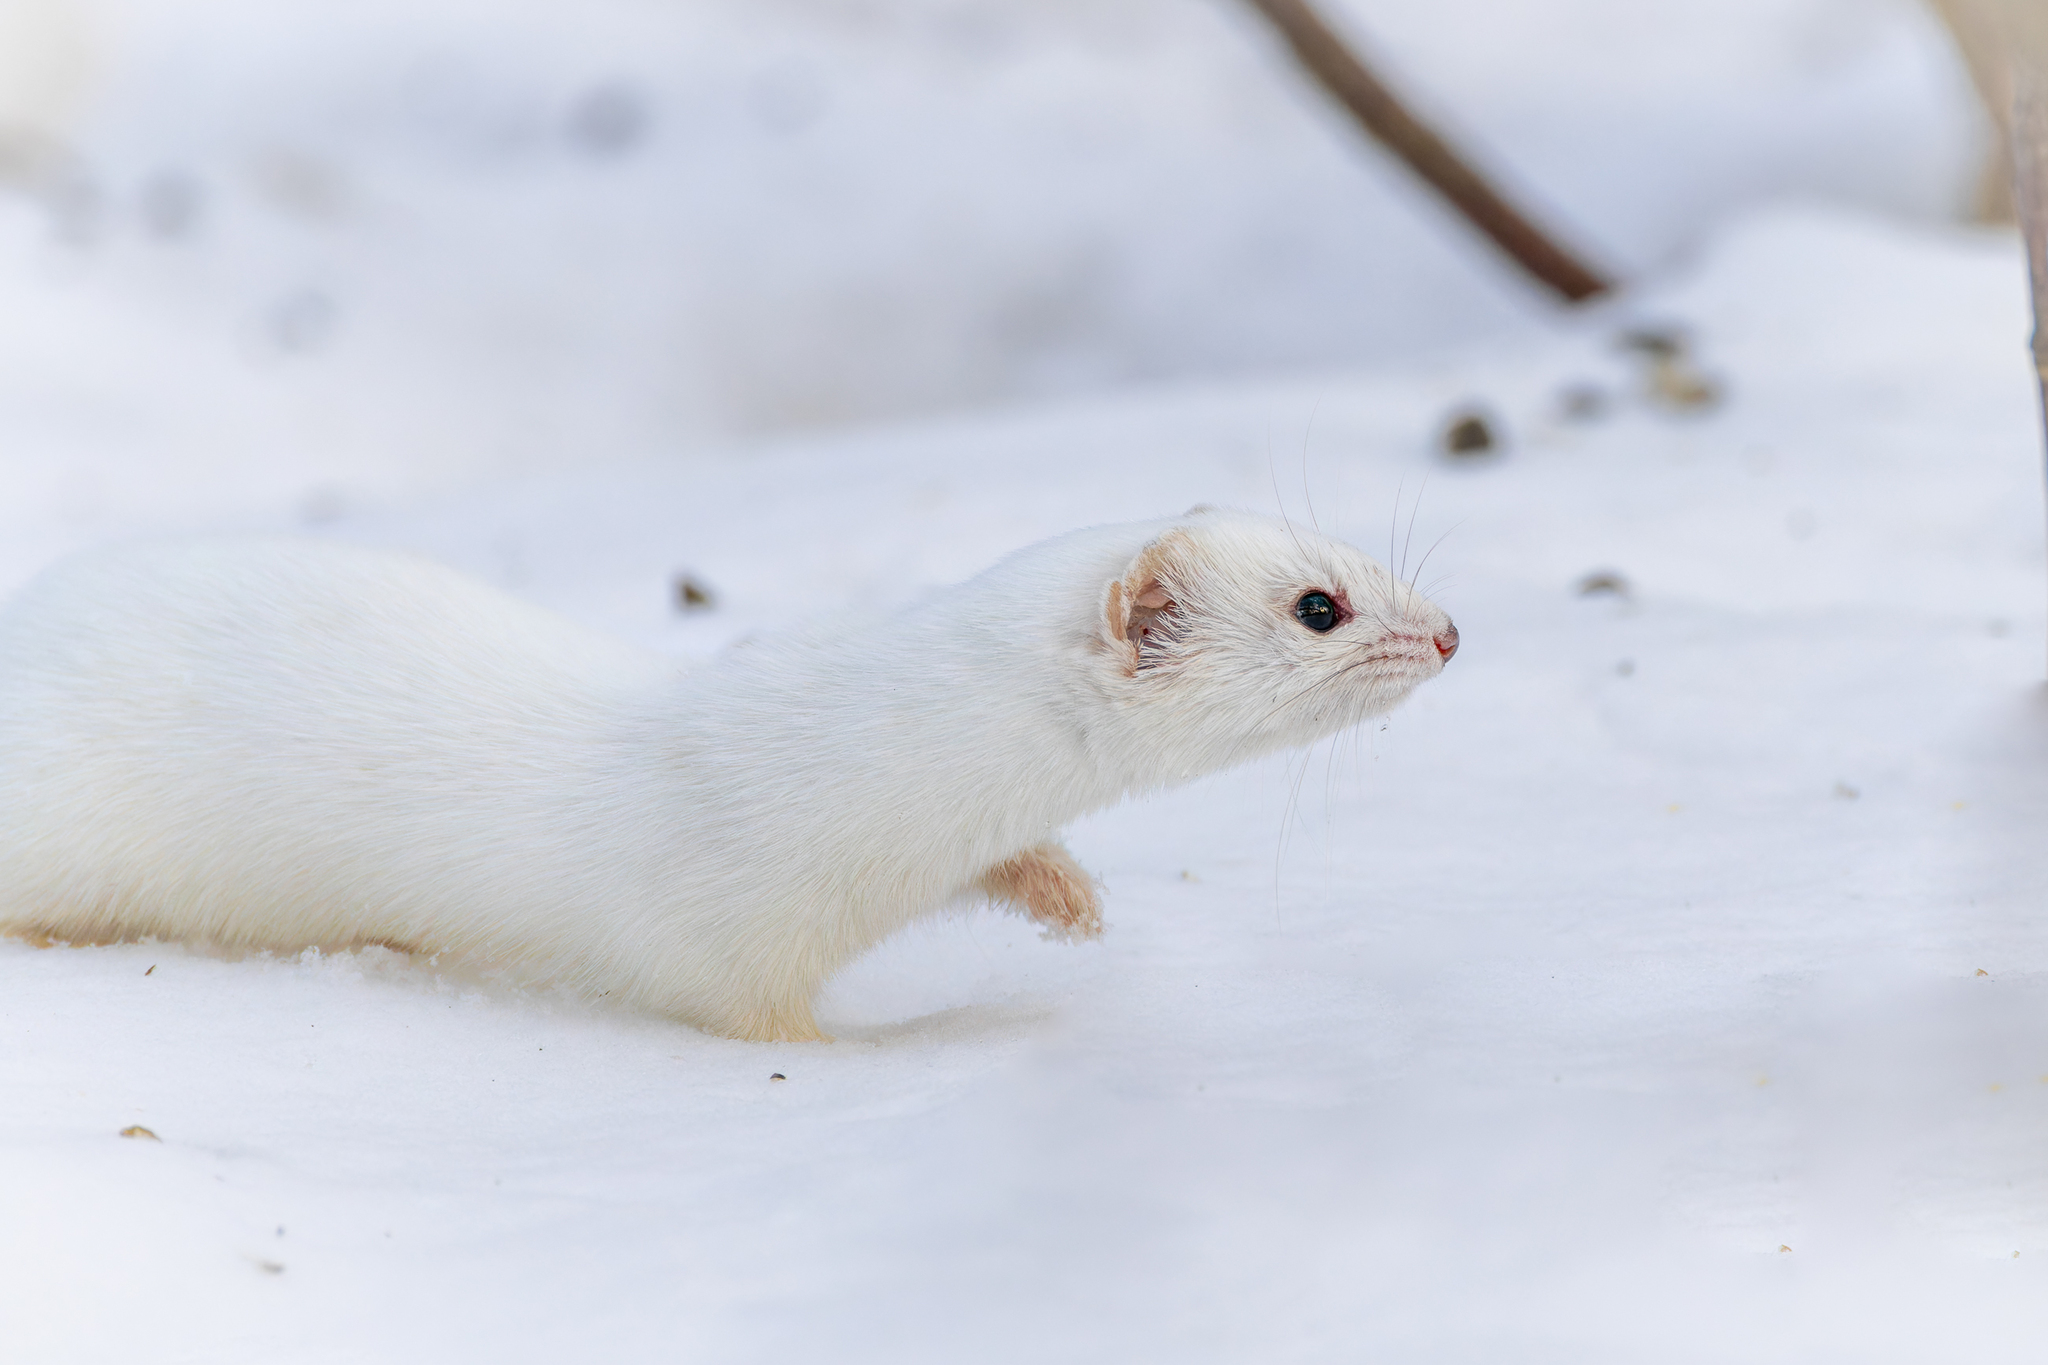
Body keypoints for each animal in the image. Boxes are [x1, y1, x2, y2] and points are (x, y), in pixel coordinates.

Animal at [0, 507, 1458, 1039]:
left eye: (1343, 549)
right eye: (1319, 606)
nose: (1449, 629)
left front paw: (1066, 894)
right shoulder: (712, 934)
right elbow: (739, 1015)